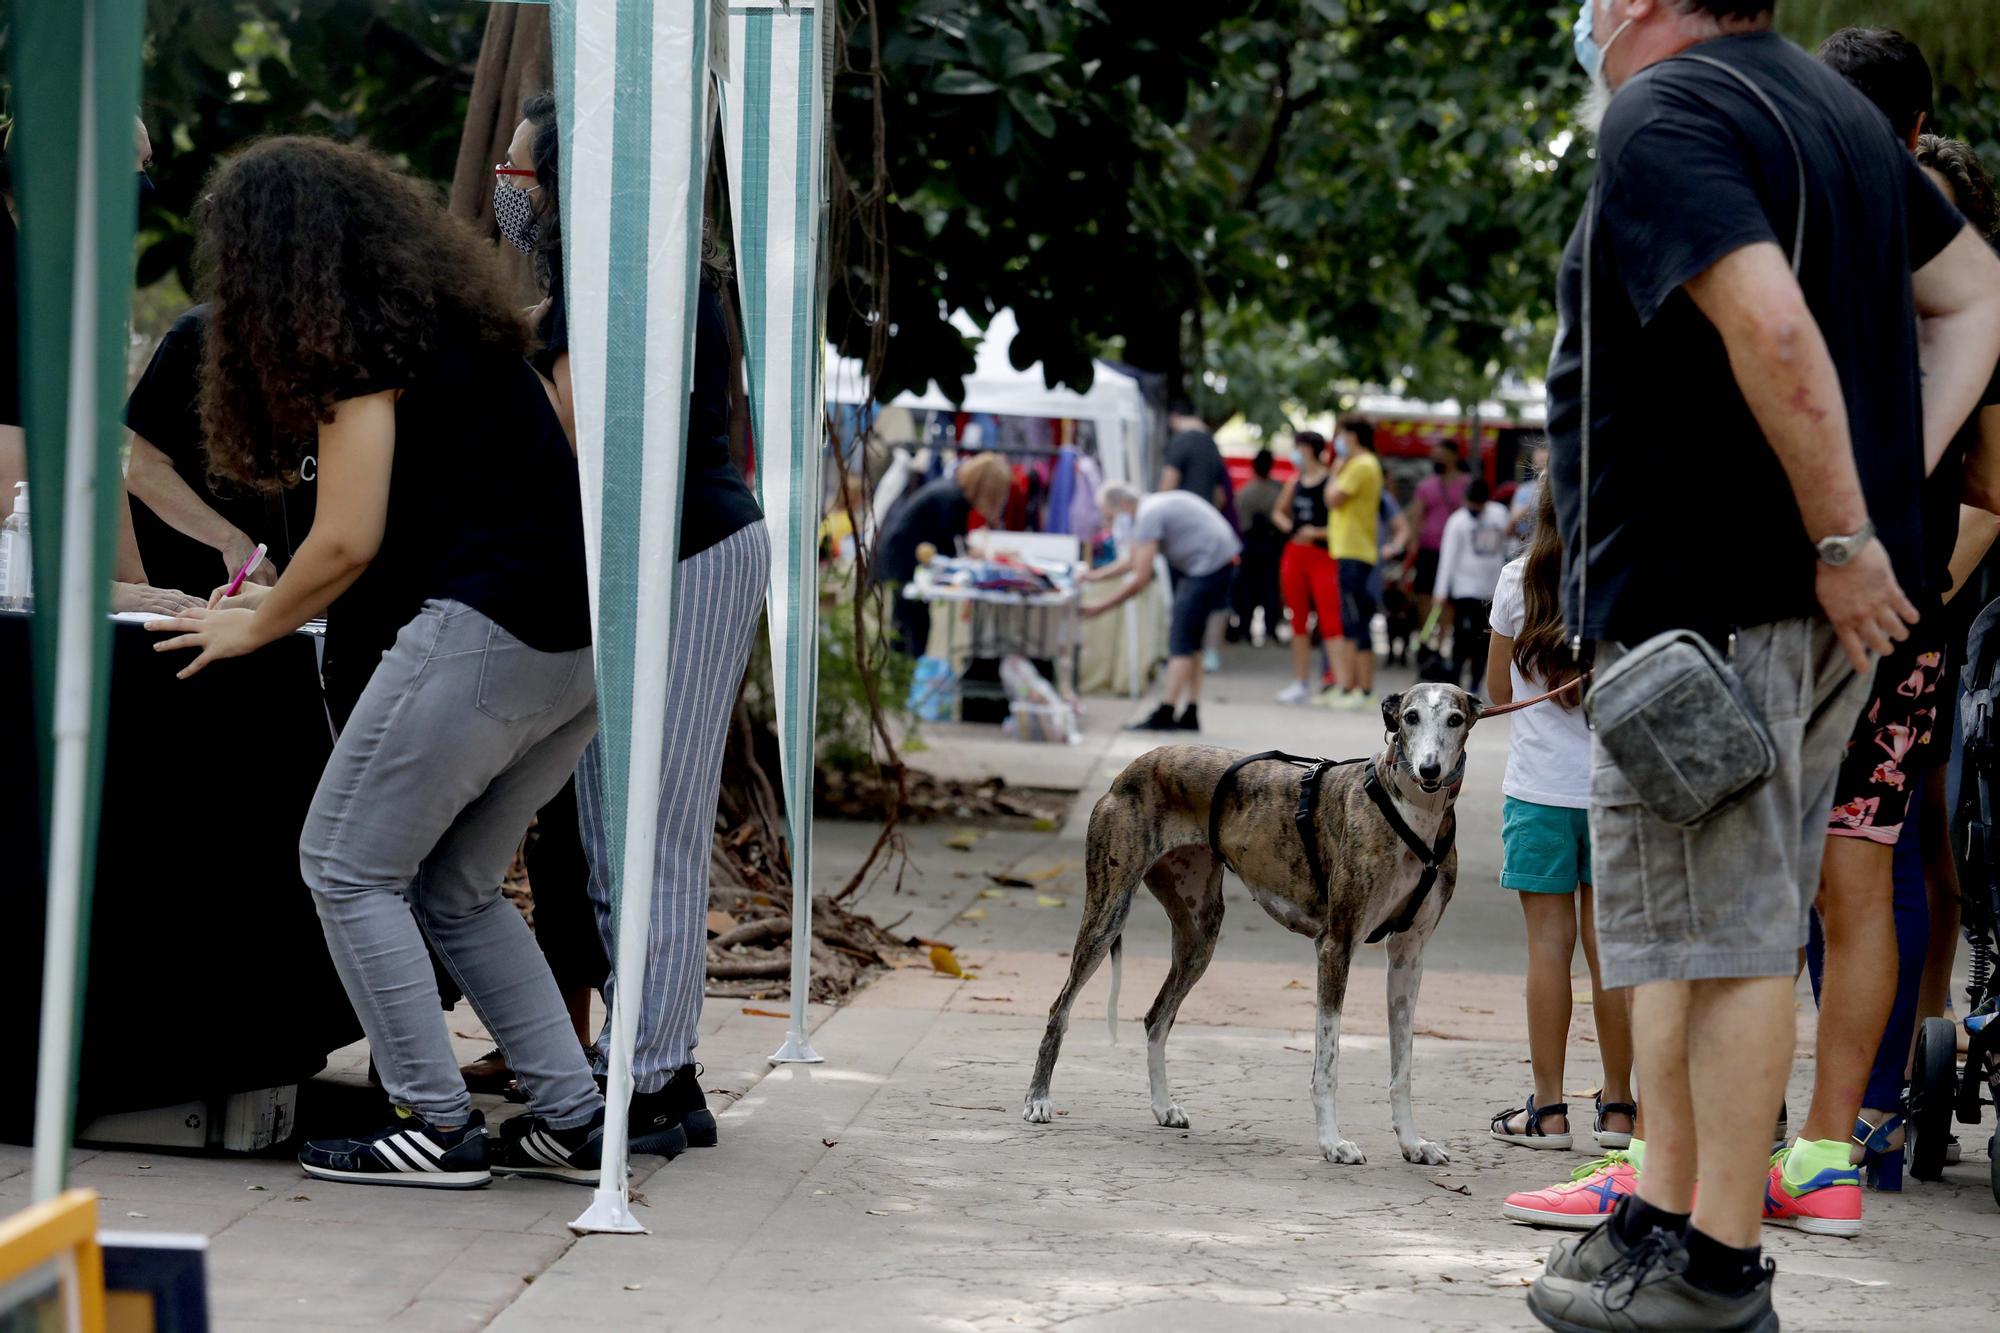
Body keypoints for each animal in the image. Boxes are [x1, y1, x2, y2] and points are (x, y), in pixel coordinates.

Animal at [1024, 680, 1480, 1160]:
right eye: (1410, 716)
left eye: (1455, 719)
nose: (1429, 770)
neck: (1410, 812)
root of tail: (1129, 769)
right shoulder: (1336, 946)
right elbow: (1328, 1062)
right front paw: (1332, 1142)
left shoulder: (1408, 956)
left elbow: (1403, 1067)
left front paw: (1412, 1143)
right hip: (1107, 912)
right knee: (1060, 1007)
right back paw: (1038, 1099)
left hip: (1200, 935)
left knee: (1156, 1017)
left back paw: (1163, 1107)